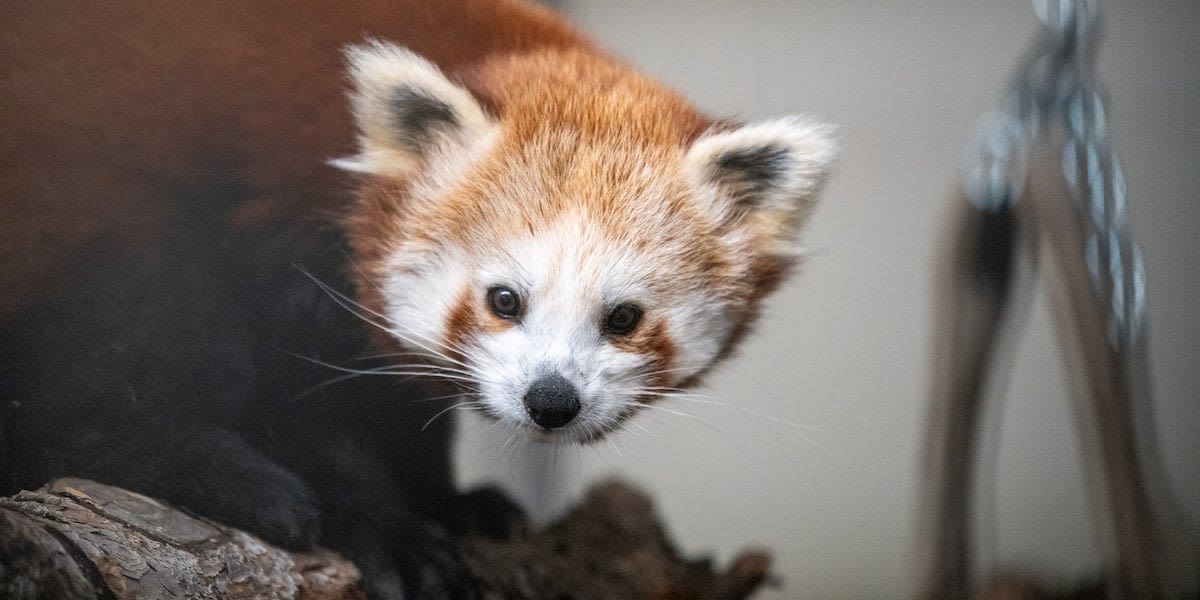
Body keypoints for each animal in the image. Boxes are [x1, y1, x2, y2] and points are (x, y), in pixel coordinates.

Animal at [0, 1, 835, 595]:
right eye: (505, 299)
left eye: (624, 317)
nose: (551, 401)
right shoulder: (263, 231)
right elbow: (304, 404)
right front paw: (383, 532)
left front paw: (453, 503)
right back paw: (240, 485)